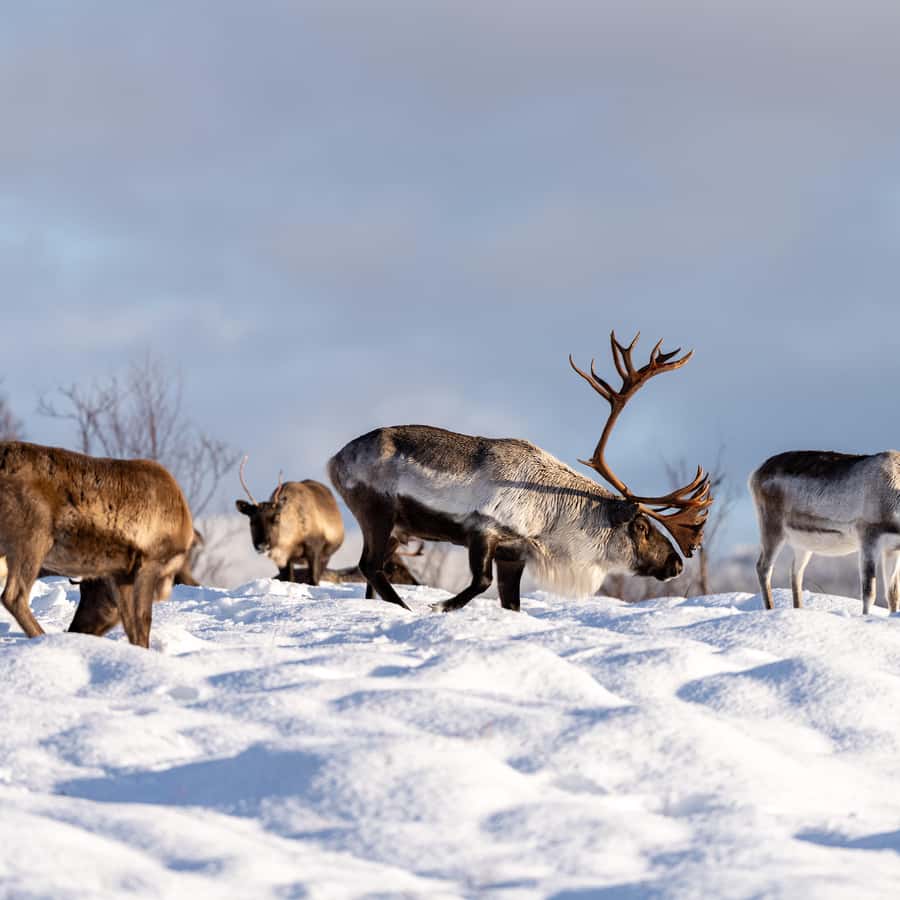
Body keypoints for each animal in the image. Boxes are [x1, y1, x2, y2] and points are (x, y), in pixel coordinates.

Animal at [0, 441, 194, 646]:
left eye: (88, 590)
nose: (77, 629)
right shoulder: (150, 561)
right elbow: (143, 621)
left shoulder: (121, 573)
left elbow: (130, 623)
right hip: (33, 535)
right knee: (14, 596)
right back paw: (43, 637)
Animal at [328, 332, 712, 612]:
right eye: (642, 527)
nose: (676, 564)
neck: (552, 514)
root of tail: (335, 459)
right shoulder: (484, 530)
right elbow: (480, 582)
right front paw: (441, 606)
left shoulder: (513, 554)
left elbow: (510, 602)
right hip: (377, 512)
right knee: (370, 566)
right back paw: (404, 608)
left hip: (398, 528)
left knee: (372, 571)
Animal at [750, 451, 900, 614]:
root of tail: (756, 473)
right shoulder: (869, 540)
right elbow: (869, 593)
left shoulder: (892, 549)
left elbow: (893, 594)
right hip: (772, 528)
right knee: (763, 567)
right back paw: (770, 608)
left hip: (803, 545)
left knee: (796, 571)